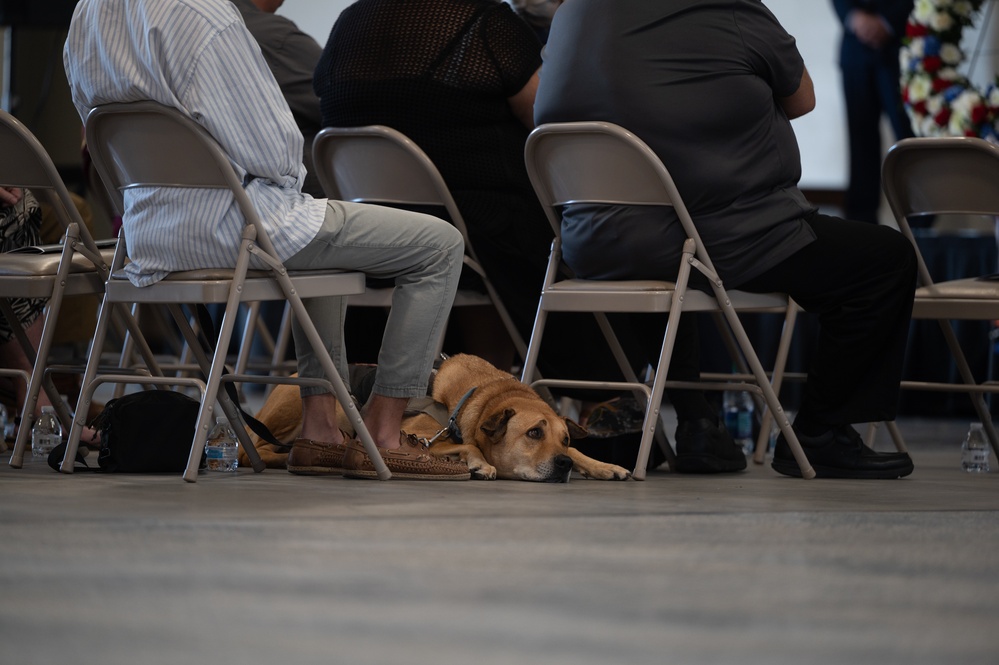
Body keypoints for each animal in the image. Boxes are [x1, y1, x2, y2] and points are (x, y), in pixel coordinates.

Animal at [241, 356, 628, 480]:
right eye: (533, 433)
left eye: (565, 438)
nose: (563, 465)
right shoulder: (423, 437)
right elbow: (471, 445)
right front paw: (479, 463)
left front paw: (603, 465)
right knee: (253, 451)